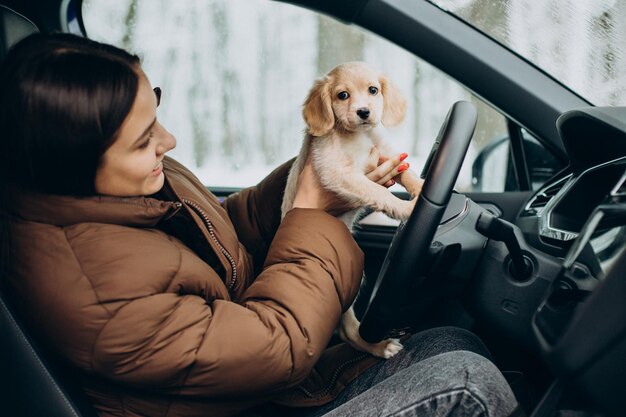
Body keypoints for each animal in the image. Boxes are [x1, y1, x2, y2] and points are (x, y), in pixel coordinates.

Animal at [282, 61, 420, 358]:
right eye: (342, 95)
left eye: (373, 90)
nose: (363, 112)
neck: (359, 137)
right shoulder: (337, 173)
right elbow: (378, 192)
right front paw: (406, 209)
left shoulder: (387, 155)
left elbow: (407, 173)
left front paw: (423, 186)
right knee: (348, 331)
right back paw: (378, 346)